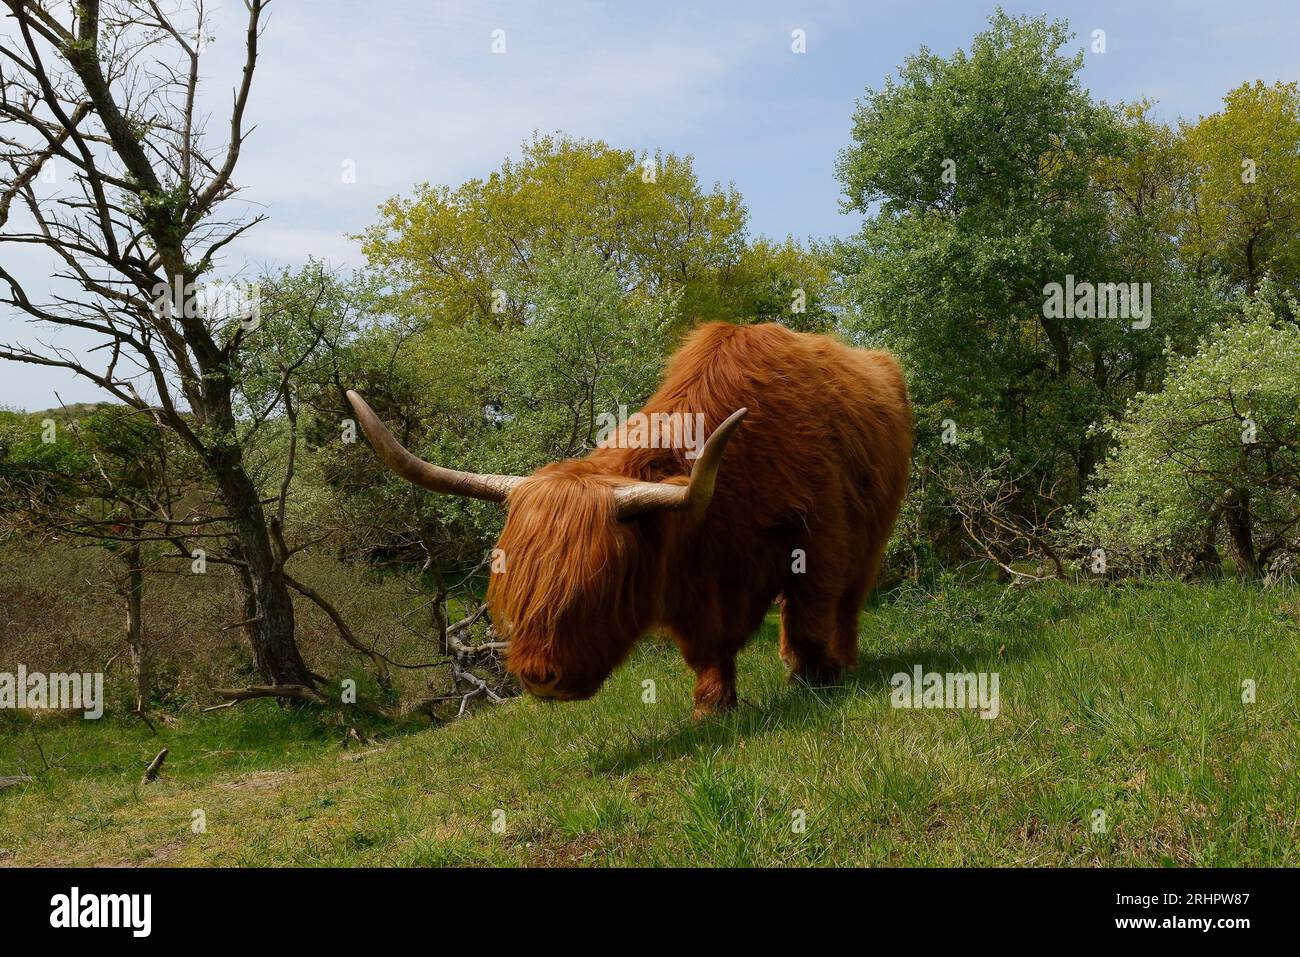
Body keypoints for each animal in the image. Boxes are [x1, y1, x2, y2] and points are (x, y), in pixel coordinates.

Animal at [348, 321, 915, 717]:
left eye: (595, 589)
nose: (535, 676)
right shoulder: (693, 586)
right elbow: (708, 651)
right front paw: (712, 707)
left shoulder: (818, 545)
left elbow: (811, 620)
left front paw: (816, 681)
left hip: (872, 538)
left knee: (848, 604)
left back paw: (842, 663)